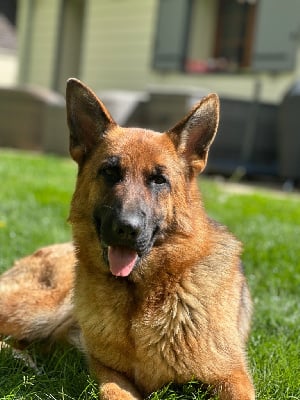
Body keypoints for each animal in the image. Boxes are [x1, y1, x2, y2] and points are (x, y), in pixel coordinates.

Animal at [0, 79, 255, 400]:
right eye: (110, 172)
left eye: (159, 180)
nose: (126, 228)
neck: (144, 294)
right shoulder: (107, 371)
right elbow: (114, 393)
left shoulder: (233, 376)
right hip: (39, 310)